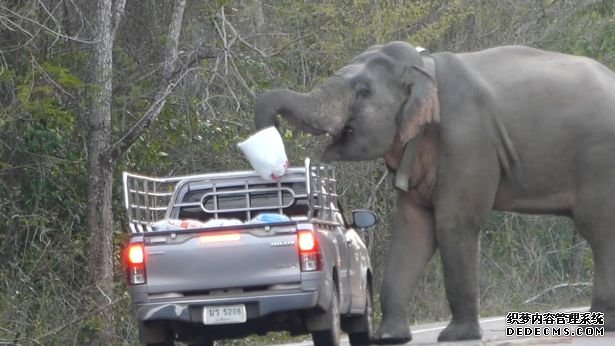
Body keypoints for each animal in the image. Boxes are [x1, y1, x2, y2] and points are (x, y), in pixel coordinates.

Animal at [253, 41, 615, 344]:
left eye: (363, 91)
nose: (276, 162)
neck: (424, 66)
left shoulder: (468, 138)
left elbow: (453, 224)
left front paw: (456, 336)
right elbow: (413, 230)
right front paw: (389, 338)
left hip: (599, 160)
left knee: (598, 228)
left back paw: (602, 321)